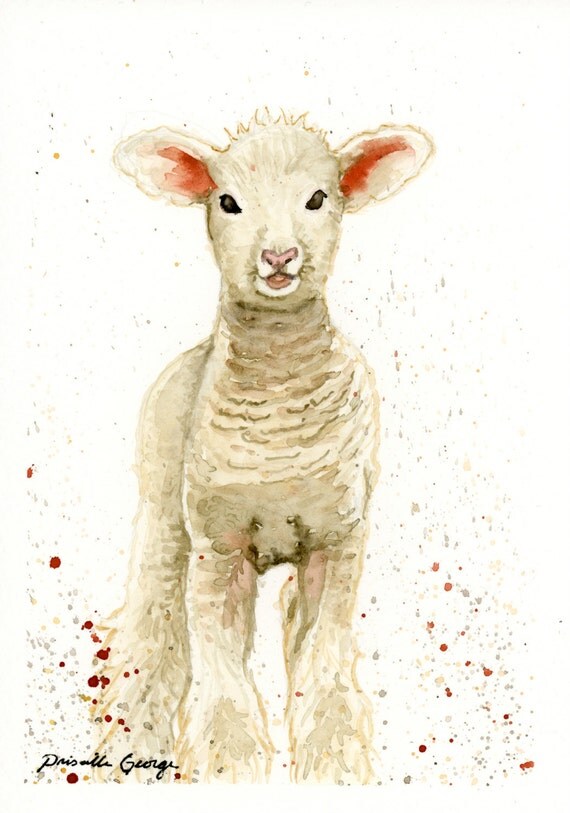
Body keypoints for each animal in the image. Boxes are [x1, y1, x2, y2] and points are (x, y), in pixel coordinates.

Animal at [92, 109, 433, 784]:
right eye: (228, 202)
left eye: (318, 198)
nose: (279, 257)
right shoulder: (218, 542)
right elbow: (217, 653)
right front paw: (228, 757)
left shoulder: (338, 536)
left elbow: (323, 648)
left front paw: (333, 752)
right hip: (164, 513)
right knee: (153, 623)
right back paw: (131, 734)